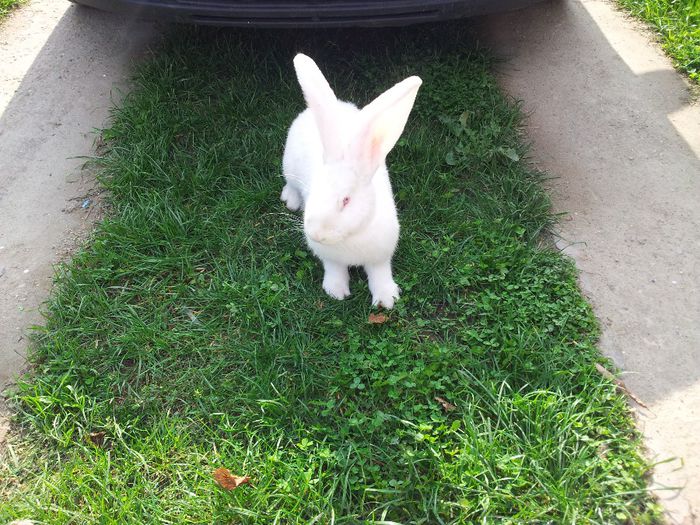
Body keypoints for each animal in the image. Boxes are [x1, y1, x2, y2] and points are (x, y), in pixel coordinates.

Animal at [282, 53, 424, 308]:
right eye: (314, 193)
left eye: (346, 200)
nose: (316, 234)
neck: (351, 237)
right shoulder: (330, 259)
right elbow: (335, 270)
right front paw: (336, 291)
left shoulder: (381, 256)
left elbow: (380, 273)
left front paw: (386, 299)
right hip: (288, 164)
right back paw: (291, 200)